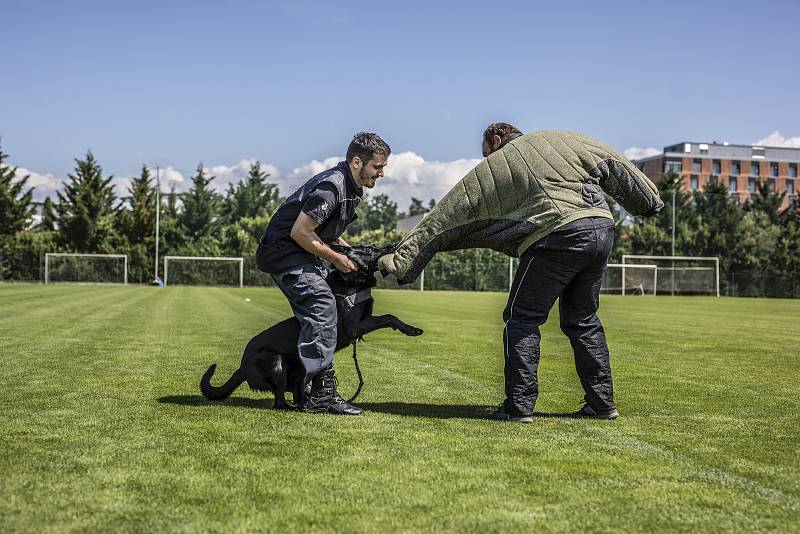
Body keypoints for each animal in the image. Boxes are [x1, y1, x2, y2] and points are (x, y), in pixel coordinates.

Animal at [198, 246, 424, 410]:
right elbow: (389, 317)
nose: (391, 245)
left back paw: (306, 403)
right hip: (277, 364)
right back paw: (292, 407)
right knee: (279, 398)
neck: (351, 280)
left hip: (299, 369)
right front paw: (411, 330)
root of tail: (242, 366)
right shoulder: (355, 326)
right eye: (370, 249)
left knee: (299, 389)